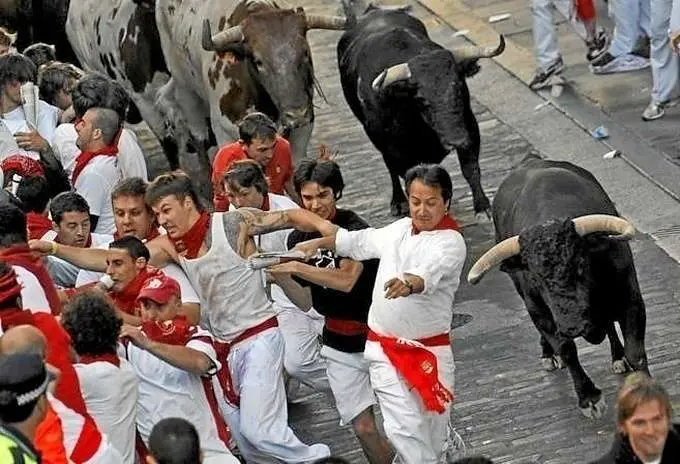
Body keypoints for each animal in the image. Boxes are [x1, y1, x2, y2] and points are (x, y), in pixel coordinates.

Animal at [336, 7, 502, 218]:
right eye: (422, 99)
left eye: (459, 86)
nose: (456, 140)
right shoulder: (391, 147)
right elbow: (403, 173)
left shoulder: (469, 126)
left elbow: (470, 168)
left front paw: (482, 207)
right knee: (391, 170)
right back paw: (398, 202)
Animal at [468, 155, 648, 416]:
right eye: (535, 277)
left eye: (581, 263)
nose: (572, 326)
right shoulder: (540, 313)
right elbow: (567, 350)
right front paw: (589, 397)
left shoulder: (630, 299)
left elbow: (636, 352)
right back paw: (549, 355)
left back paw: (618, 357)